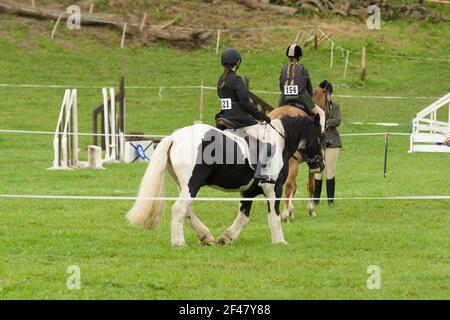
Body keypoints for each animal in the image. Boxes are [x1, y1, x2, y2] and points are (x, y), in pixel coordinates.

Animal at [125, 116, 324, 246]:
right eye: (320, 137)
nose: (320, 165)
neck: (279, 142)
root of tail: (174, 137)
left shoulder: (248, 192)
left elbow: (243, 217)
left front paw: (227, 237)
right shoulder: (273, 190)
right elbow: (273, 216)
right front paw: (280, 241)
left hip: (185, 185)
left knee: (187, 210)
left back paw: (205, 236)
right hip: (192, 184)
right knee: (180, 209)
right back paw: (179, 242)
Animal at [268, 87, 328, 222]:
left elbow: (294, 188)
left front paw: (291, 211)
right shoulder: (309, 163)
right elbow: (310, 185)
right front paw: (310, 210)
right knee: (288, 185)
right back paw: (284, 215)